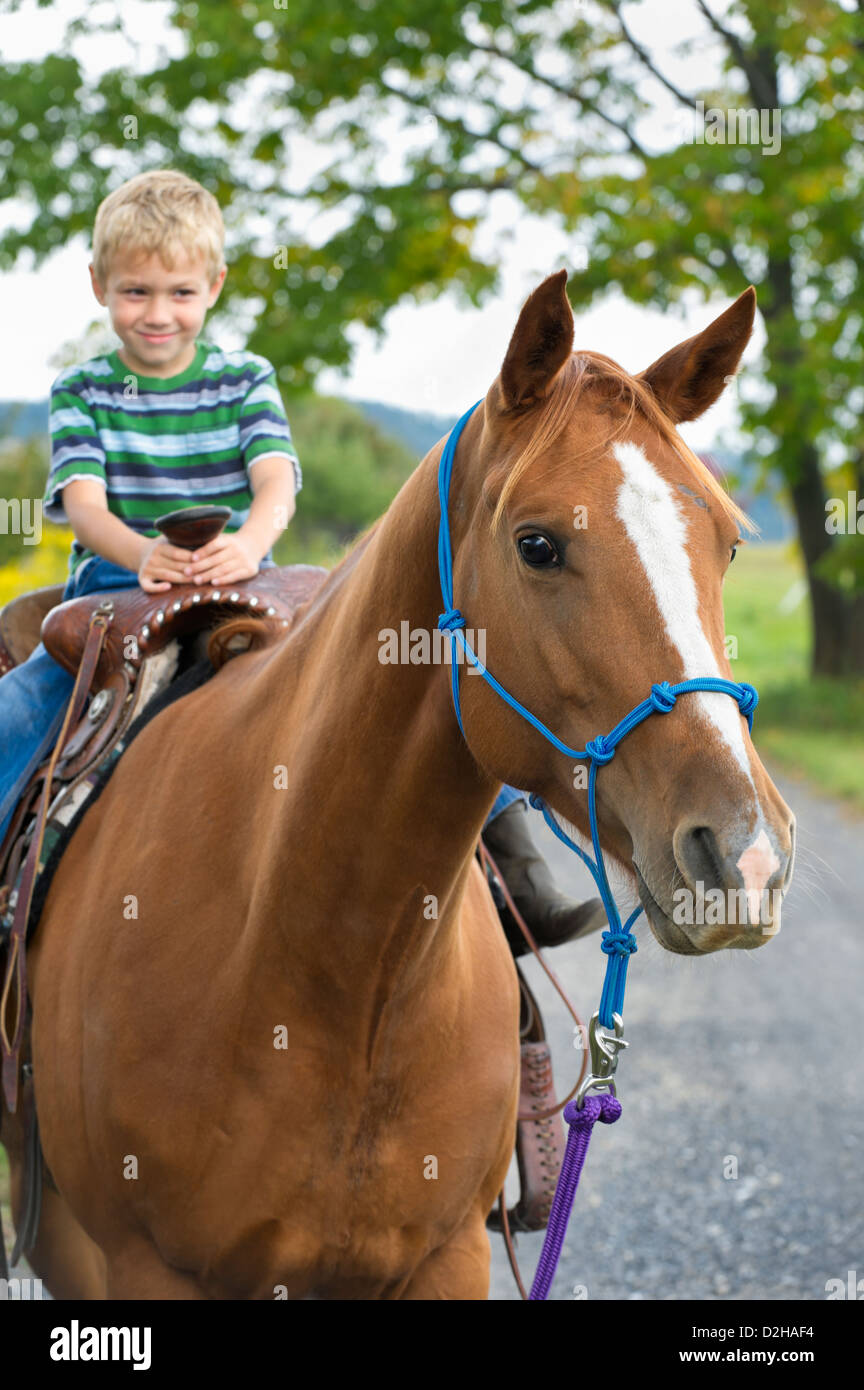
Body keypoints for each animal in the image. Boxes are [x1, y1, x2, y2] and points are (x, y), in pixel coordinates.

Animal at [5, 268, 800, 1289]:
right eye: (537, 544)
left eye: (729, 543)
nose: (743, 857)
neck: (334, 974)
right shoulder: (150, 1266)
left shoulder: (445, 1259)